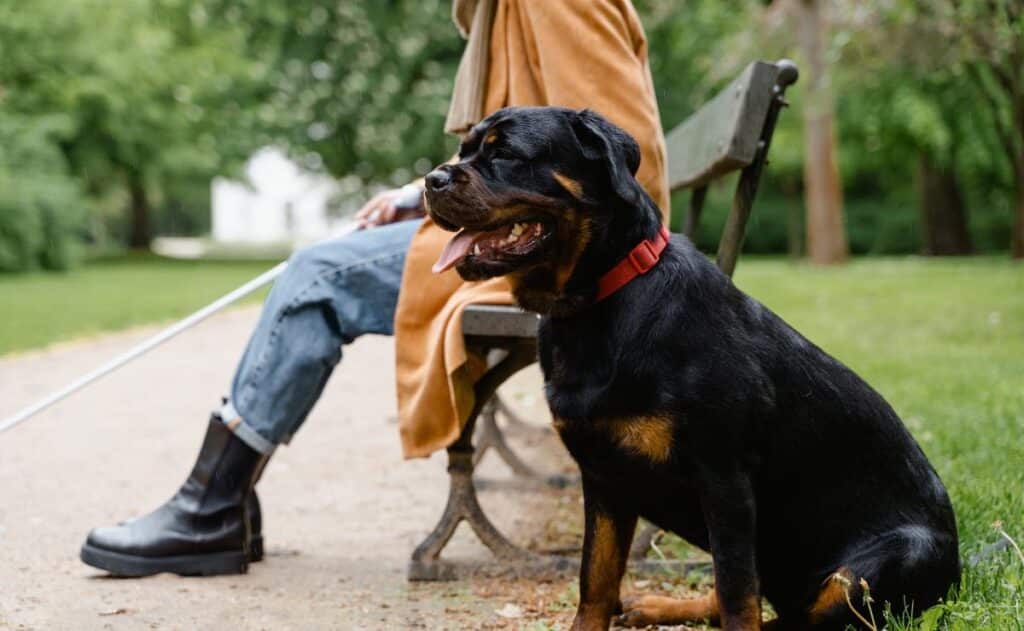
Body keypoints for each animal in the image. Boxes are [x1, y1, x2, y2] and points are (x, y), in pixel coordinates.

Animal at [421, 106, 958, 626]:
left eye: (506, 153)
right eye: (464, 150)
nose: (432, 179)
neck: (597, 302)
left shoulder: (724, 478)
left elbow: (737, 595)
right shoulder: (603, 477)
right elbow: (596, 581)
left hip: (886, 561)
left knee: (793, 615)